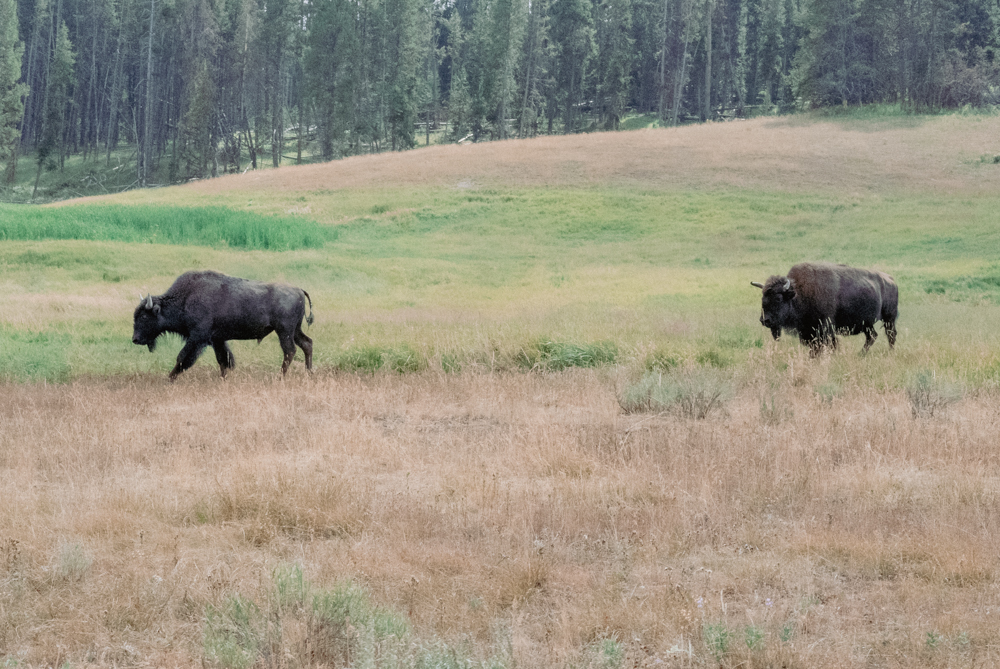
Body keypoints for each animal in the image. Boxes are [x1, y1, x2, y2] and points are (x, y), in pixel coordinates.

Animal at [132, 270, 314, 380]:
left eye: (144, 316)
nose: (135, 339)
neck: (186, 298)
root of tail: (299, 290)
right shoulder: (217, 340)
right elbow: (223, 360)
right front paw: (223, 378)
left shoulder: (198, 338)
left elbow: (183, 358)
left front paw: (170, 378)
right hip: (295, 330)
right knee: (307, 344)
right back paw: (309, 373)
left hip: (284, 331)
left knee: (290, 351)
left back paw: (280, 377)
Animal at [751, 262, 898, 355]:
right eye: (763, 298)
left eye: (778, 299)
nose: (765, 320)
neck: (799, 293)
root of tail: (891, 280)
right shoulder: (808, 331)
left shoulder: (825, 328)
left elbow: (830, 345)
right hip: (867, 324)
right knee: (872, 336)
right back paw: (860, 354)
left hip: (889, 318)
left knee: (890, 335)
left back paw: (890, 353)